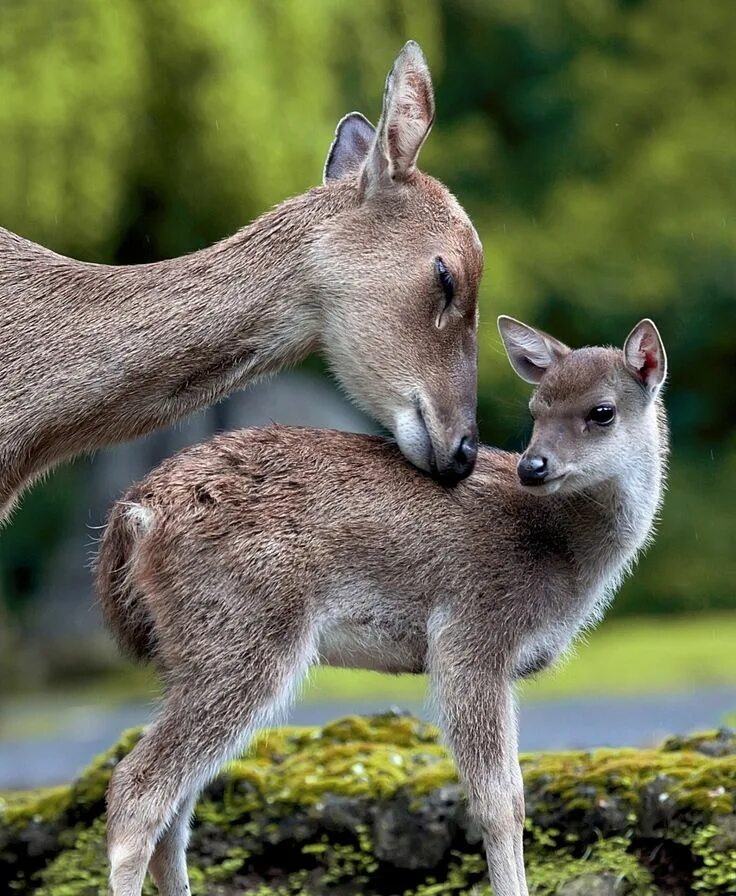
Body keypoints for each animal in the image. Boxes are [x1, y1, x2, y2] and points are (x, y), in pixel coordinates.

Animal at [98, 316, 668, 896]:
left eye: (602, 411)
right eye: (536, 408)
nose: (533, 467)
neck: (560, 552)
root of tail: (137, 513)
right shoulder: (471, 634)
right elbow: (501, 803)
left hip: (196, 650)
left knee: (176, 807)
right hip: (242, 634)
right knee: (137, 789)